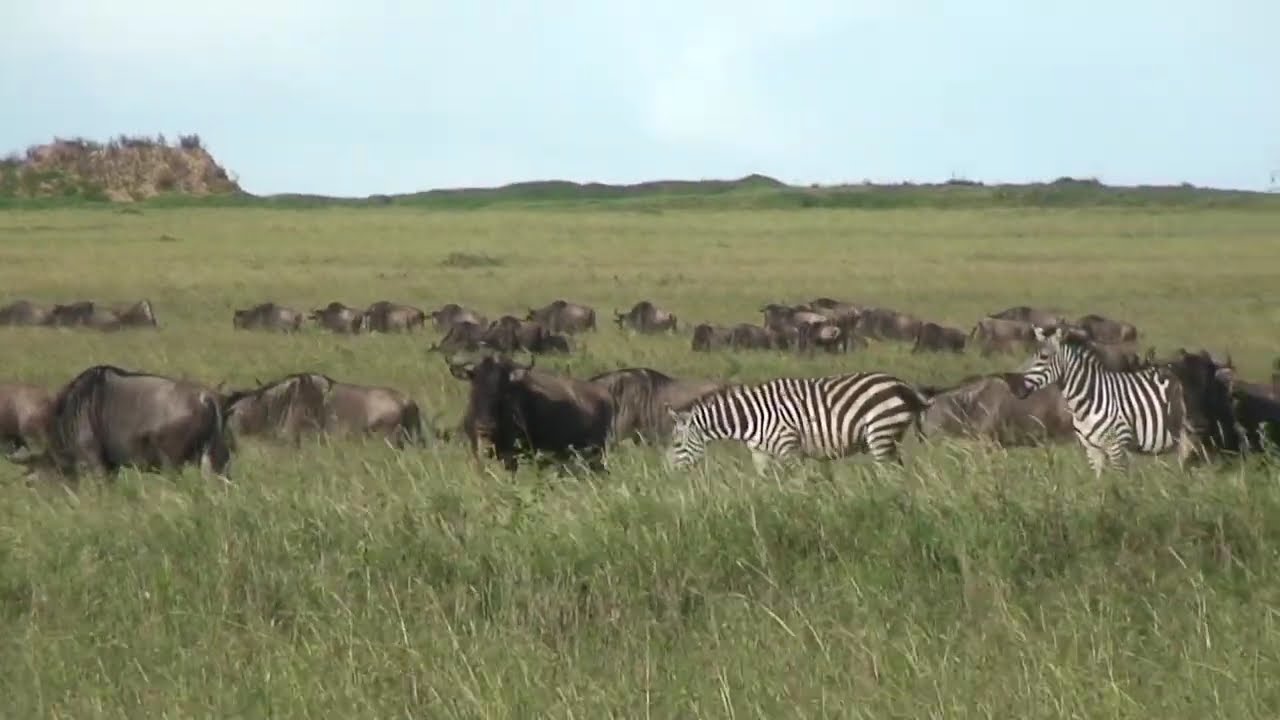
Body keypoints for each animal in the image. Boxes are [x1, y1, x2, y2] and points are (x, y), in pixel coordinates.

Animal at [663, 372, 933, 475]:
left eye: (676, 444)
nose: (670, 473)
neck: (751, 417)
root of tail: (901, 384)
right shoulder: (759, 453)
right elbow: (763, 485)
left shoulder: (789, 447)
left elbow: (797, 483)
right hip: (890, 436)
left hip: (880, 431)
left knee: (888, 471)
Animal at [1007, 324, 1205, 475]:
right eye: (1030, 355)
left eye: (1044, 357)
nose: (1014, 387)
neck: (1089, 399)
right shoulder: (1092, 450)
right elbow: (1100, 485)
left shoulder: (1117, 447)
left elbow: (1121, 485)